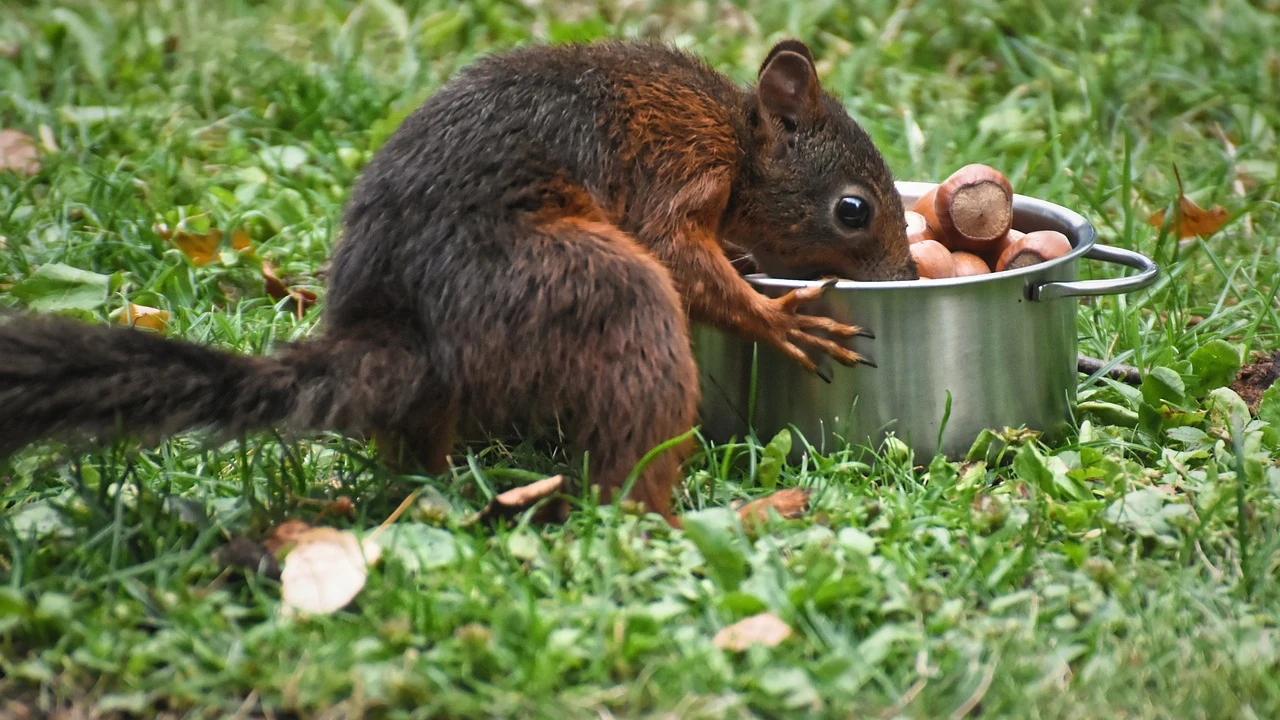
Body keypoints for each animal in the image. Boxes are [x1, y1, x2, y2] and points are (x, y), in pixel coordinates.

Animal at [0, 39, 916, 526]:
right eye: (852, 209)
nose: (907, 274)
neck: (735, 135)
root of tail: (407, 339)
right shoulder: (678, 164)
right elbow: (677, 251)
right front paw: (776, 318)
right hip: (579, 288)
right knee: (621, 461)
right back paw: (688, 516)